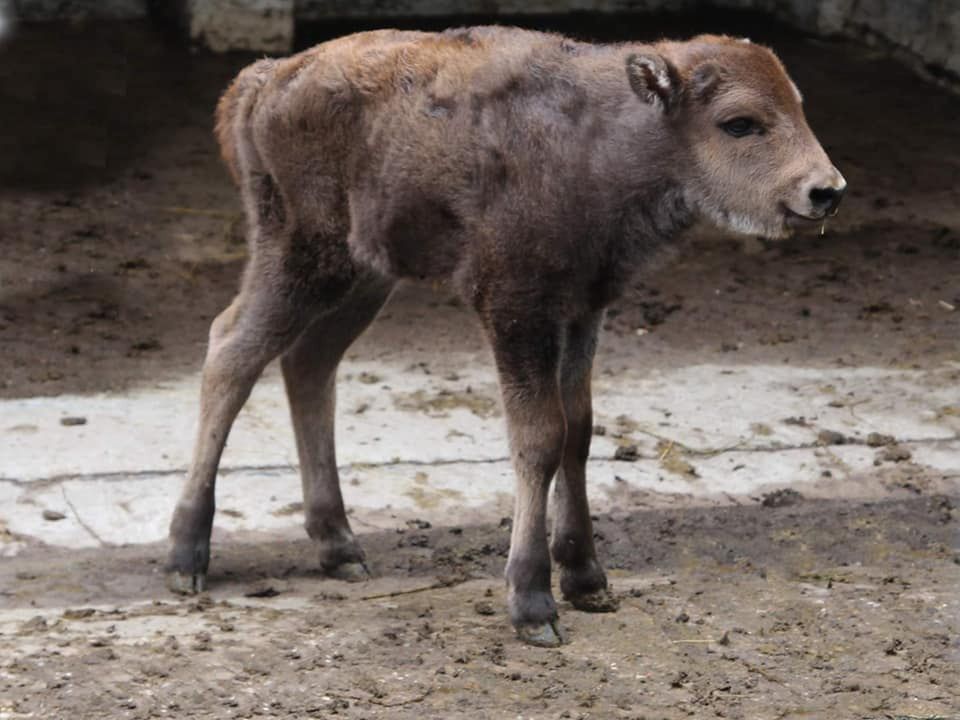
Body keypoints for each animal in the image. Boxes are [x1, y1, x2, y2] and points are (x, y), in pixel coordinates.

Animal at [169, 26, 844, 648]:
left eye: (799, 105)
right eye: (739, 123)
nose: (826, 191)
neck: (602, 137)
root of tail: (263, 80)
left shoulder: (583, 310)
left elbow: (579, 430)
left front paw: (588, 580)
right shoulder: (515, 311)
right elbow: (539, 437)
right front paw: (533, 603)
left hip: (364, 276)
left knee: (308, 363)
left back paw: (340, 547)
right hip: (301, 256)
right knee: (231, 352)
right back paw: (186, 555)